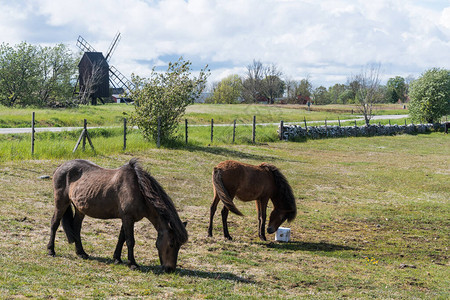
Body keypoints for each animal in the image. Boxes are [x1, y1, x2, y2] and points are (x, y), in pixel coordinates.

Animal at [48, 159, 189, 272]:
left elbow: (122, 238)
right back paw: (51, 251)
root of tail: (61, 166)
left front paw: (117, 259)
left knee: (76, 228)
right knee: (54, 224)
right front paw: (132, 264)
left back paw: (81, 253)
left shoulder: (127, 219)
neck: (139, 190)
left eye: (179, 246)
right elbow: (130, 241)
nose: (170, 269)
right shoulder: (128, 218)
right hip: (61, 203)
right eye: (171, 244)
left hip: (80, 209)